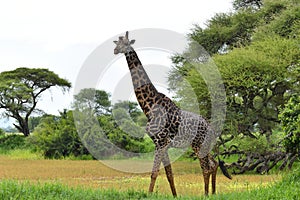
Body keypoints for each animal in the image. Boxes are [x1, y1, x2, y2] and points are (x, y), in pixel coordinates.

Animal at [113, 31, 232, 197]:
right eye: (116, 43)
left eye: (125, 43)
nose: (115, 50)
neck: (149, 107)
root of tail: (211, 128)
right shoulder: (163, 144)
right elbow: (169, 174)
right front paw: (175, 195)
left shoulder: (160, 143)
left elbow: (154, 173)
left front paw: (148, 195)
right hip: (205, 145)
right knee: (213, 164)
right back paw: (213, 193)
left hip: (198, 144)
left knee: (206, 168)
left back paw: (206, 195)